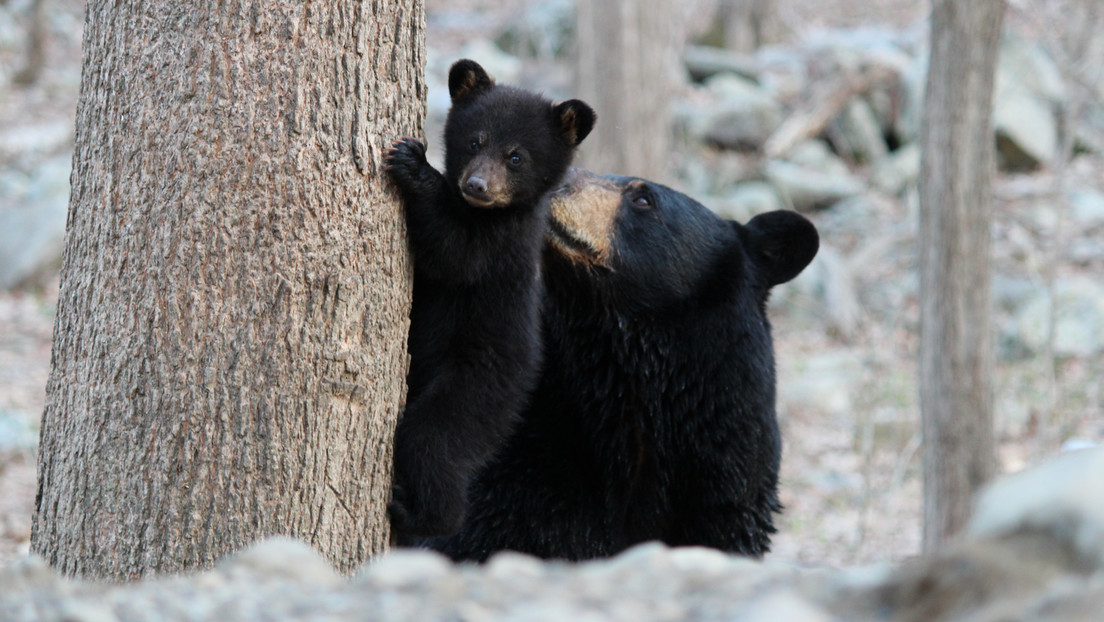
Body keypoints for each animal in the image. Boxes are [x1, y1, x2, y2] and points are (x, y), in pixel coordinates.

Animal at [386, 59, 596, 541]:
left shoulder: (500, 245)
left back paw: (418, 515)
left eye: (516, 156)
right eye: (474, 140)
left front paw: (413, 164)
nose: (477, 184)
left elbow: (453, 253)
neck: (483, 213)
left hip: (480, 385)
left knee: (434, 443)